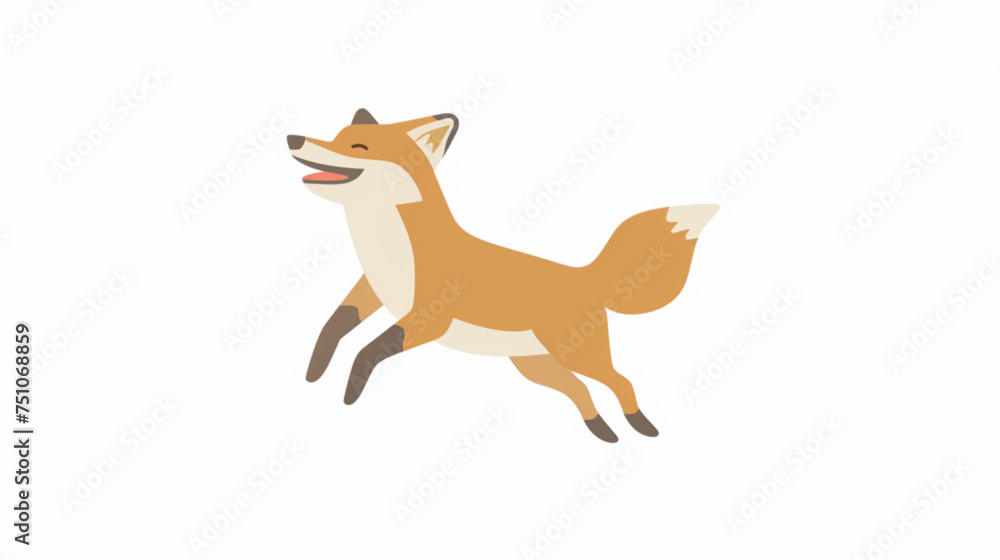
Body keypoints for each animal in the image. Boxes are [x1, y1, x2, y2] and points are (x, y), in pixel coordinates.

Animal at [287, 108, 718, 442]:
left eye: (359, 148)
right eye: (337, 137)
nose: (293, 137)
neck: (387, 247)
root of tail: (584, 275)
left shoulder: (430, 318)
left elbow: (367, 350)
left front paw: (350, 392)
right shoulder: (371, 291)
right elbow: (333, 326)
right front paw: (314, 371)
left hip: (575, 354)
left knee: (620, 381)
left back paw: (640, 424)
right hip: (535, 366)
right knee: (581, 390)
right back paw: (601, 430)